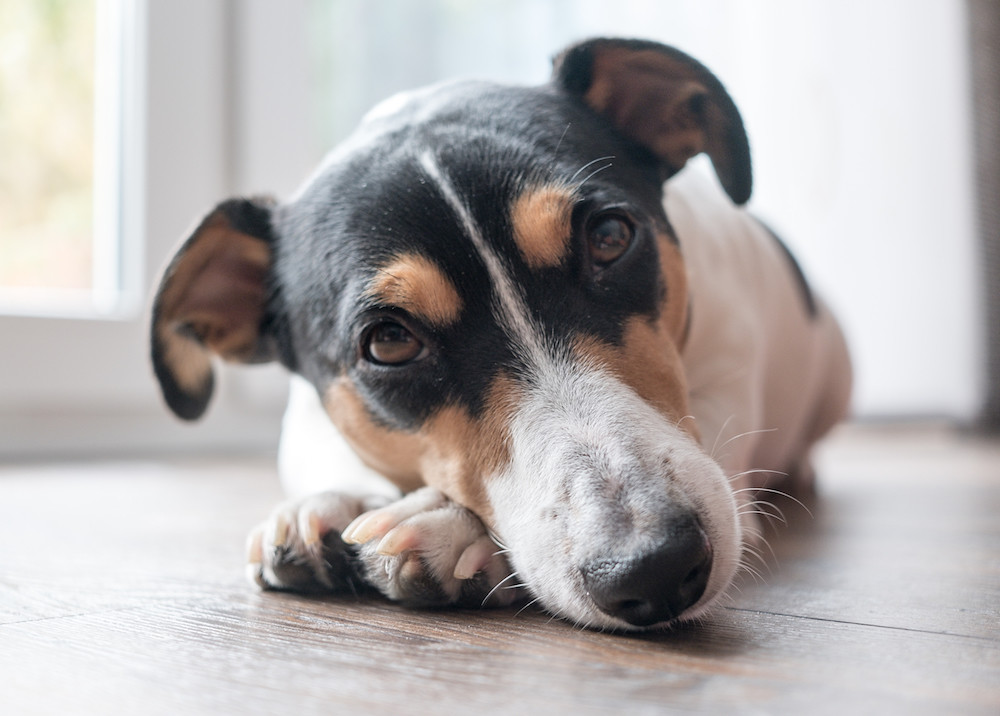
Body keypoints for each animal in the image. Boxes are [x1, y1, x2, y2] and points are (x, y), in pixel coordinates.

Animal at [150, 40, 852, 632]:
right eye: (389, 342)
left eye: (610, 236)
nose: (655, 568)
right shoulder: (309, 411)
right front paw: (328, 502)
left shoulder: (729, 367)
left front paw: (447, 527)